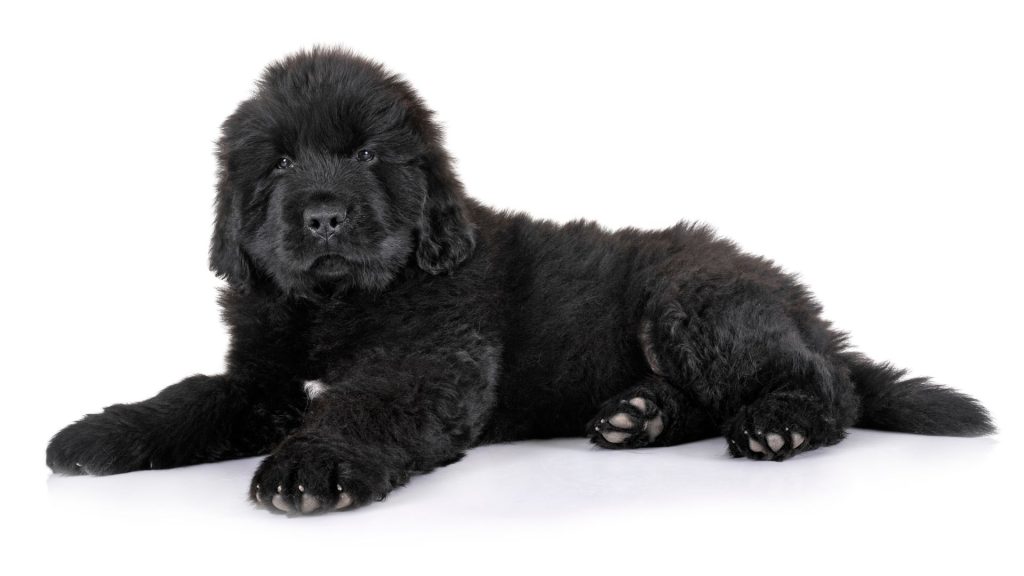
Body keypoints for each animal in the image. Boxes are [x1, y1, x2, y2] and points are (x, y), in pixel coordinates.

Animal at [46, 49, 991, 512]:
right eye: (276, 162)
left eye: (368, 154)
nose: (322, 217)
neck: (337, 306)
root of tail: (791, 293)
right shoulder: (261, 379)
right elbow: (190, 397)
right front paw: (99, 435)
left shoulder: (430, 362)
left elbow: (363, 404)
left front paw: (314, 464)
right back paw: (638, 416)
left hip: (691, 302)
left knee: (826, 386)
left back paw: (775, 426)